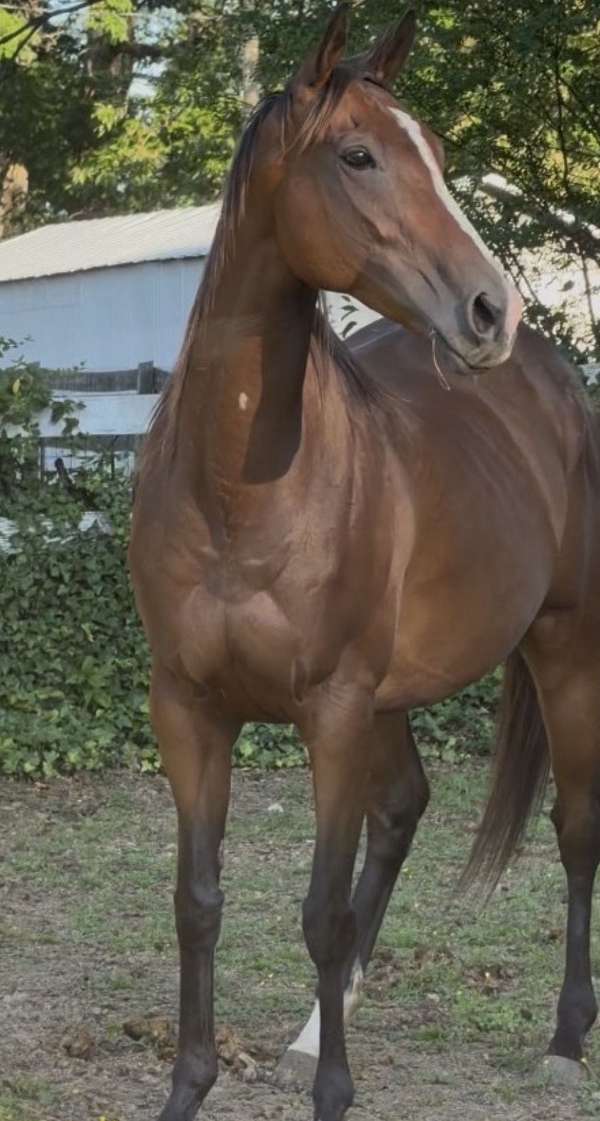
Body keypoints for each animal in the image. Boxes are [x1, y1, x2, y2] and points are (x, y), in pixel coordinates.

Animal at [129, 6, 600, 1119]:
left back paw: (565, 1037)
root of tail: (554, 377)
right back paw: (313, 1025)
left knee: (574, 828)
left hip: (564, 650)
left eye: (436, 157)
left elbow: (318, 908)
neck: (235, 490)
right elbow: (198, 899)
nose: (489, 310)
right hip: (392, 696)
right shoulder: (189, 707)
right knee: (404, 811)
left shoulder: (330, 709)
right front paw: (193, 1085)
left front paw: (335, 1091)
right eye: (358, 156)